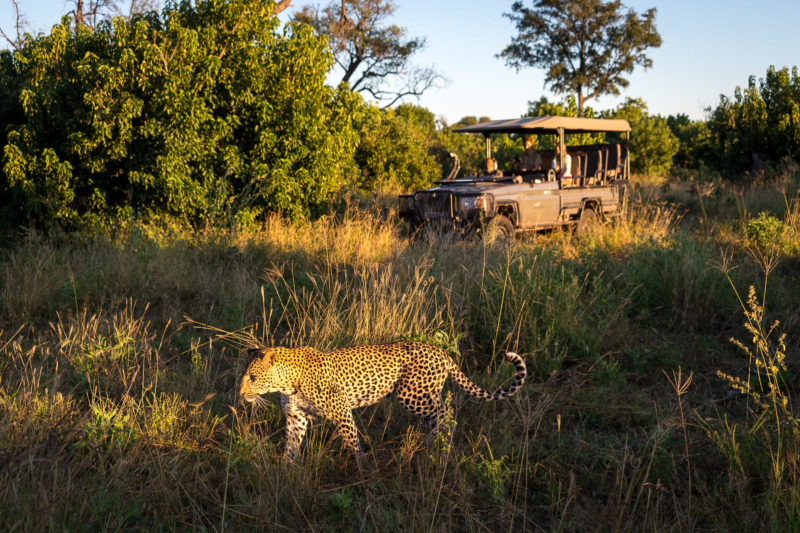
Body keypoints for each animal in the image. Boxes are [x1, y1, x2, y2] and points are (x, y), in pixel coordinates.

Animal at [238, 342, 524, 460]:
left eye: (252, 377)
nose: (240, 395)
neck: (287, 381)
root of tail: (440, 352)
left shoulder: (341, 411)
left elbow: (352, 442)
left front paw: (363, 469)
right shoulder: (296, 417)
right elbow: (291, 445)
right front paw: (287, 469)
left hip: (412, 395)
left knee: (448, 415)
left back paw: (438, 449)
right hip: (425, 395)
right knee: (440, 417)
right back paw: (431, 446)